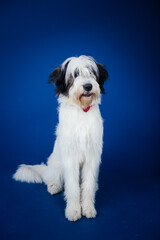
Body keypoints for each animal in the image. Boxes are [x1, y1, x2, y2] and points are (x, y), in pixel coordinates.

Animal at [13, 54, 109, 221]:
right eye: (75, 74)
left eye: (91, 73)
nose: (88, 86)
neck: (81, 111)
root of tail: (47, 168)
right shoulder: (70, 158)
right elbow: (72, 187)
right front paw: (74, 211)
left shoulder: (92, 156)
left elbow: (88, 185)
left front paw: (88, 208)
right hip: (56, 168)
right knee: (51, 179)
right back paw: (54, 187)